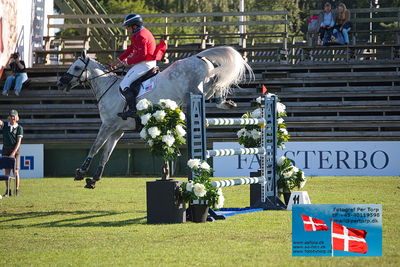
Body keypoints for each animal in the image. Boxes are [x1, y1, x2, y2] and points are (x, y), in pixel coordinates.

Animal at [56, 45, 253, 188]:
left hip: (194, 89)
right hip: (202, 87)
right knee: (215, 86)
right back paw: (224, 102)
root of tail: (198, 57)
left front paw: (81, 172)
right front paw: (94, 179)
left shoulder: (107, 126)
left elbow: (94, 148)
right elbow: (106, 154)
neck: (108, 88)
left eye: (77, 67)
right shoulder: (117, 131)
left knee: (209, 86)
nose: (60, 84)